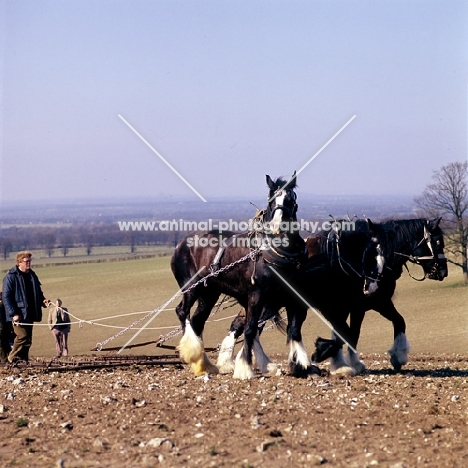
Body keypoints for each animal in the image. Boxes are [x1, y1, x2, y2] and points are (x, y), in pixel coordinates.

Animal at [218, 219, 386, 376]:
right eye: (371, 255)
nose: (373, 287)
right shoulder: (326, 307)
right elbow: (342, 333)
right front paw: (318, 355)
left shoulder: (338, 307)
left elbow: (343, 333)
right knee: (248, 327)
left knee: (246, 326)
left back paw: (238, 363)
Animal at [312, 218, 448, 374]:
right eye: (437, 242)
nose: (443, 272)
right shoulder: (350, 307)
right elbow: (346, 334)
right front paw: (328, 356)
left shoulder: (374, 304)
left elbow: (398, 321)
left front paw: (397, 356)